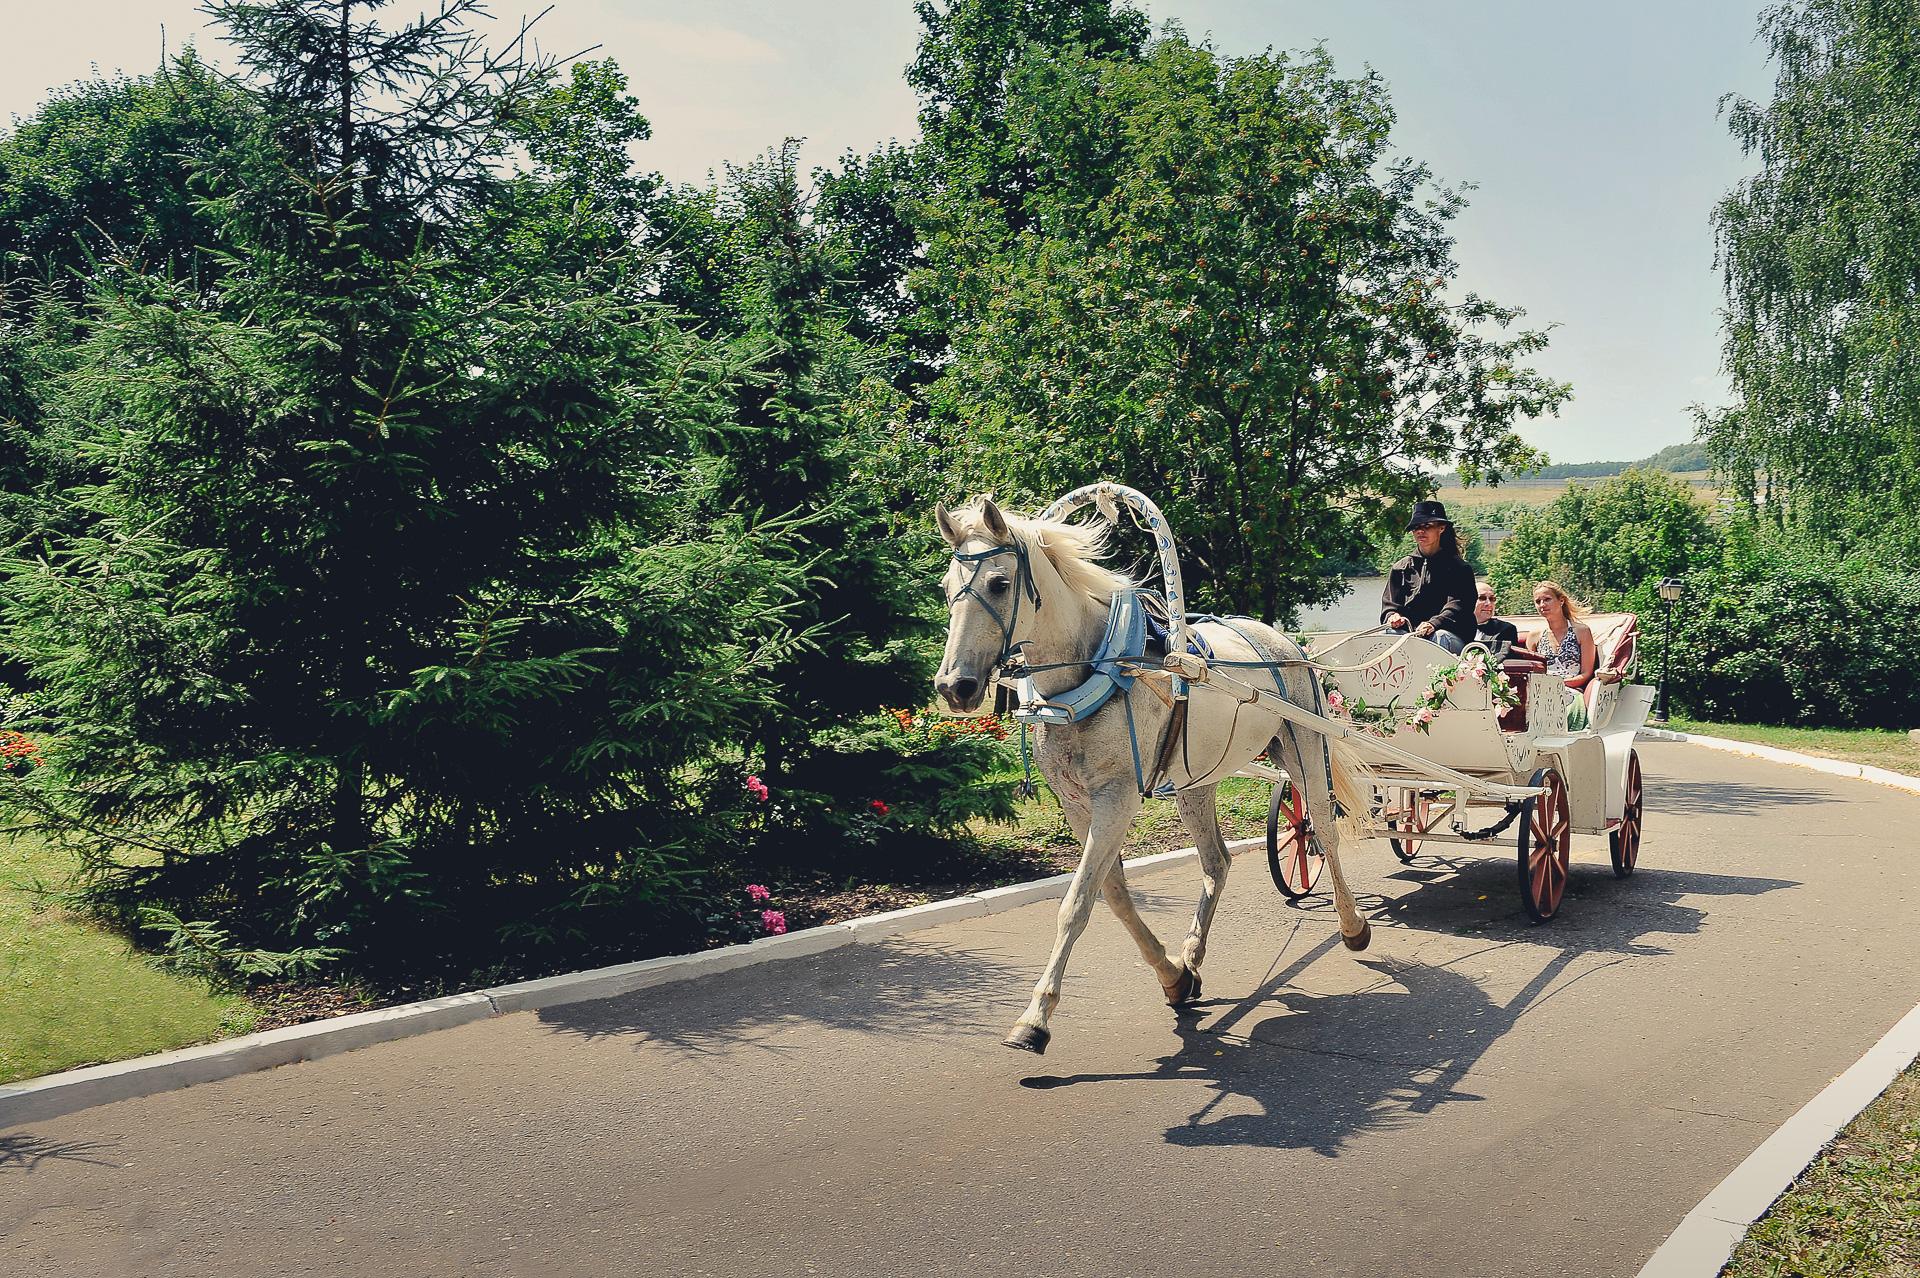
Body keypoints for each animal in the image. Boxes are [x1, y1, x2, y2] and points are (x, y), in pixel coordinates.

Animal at [933, 491, 1374, 1051]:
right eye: (946, 588)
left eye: (998, 583)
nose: (955, 687)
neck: (1097, 668)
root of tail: (1286, 642)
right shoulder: (1078, 804)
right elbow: (1114, 895)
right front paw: (1174, 976)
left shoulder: (1116, 799)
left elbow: (1077, 902)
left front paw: (1035, 1018)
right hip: (1195, 781)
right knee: (1217, 862)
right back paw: (1192, 954)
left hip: (1305, 748)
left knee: (1323, 829)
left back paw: (1352, 925)